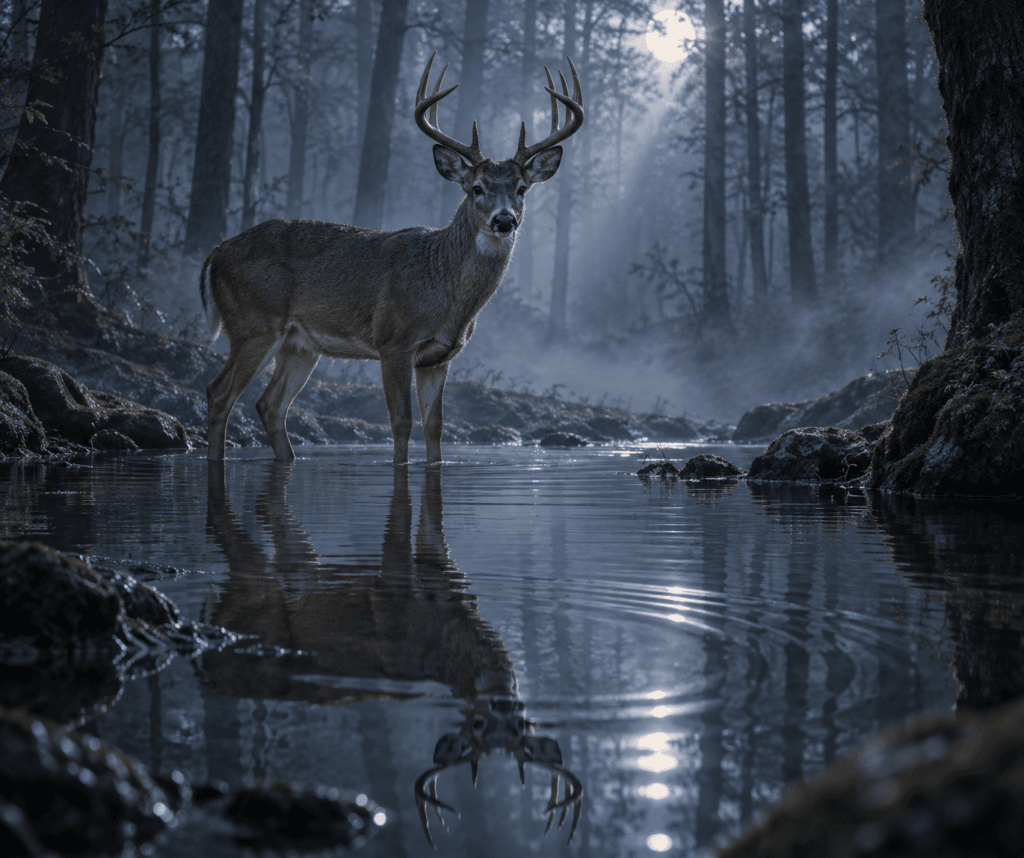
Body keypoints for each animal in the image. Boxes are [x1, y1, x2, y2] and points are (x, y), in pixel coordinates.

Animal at [200, 53, 584, 464]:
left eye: (522, 189)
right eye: (477, 188)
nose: (504, 220)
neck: (443, 285)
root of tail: (215, 253)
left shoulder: (440, 357)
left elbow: (435, 427)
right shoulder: (394, 341)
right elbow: (401, 422)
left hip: (299, 344)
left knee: (270, 405)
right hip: (254, 323)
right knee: (219, 393)